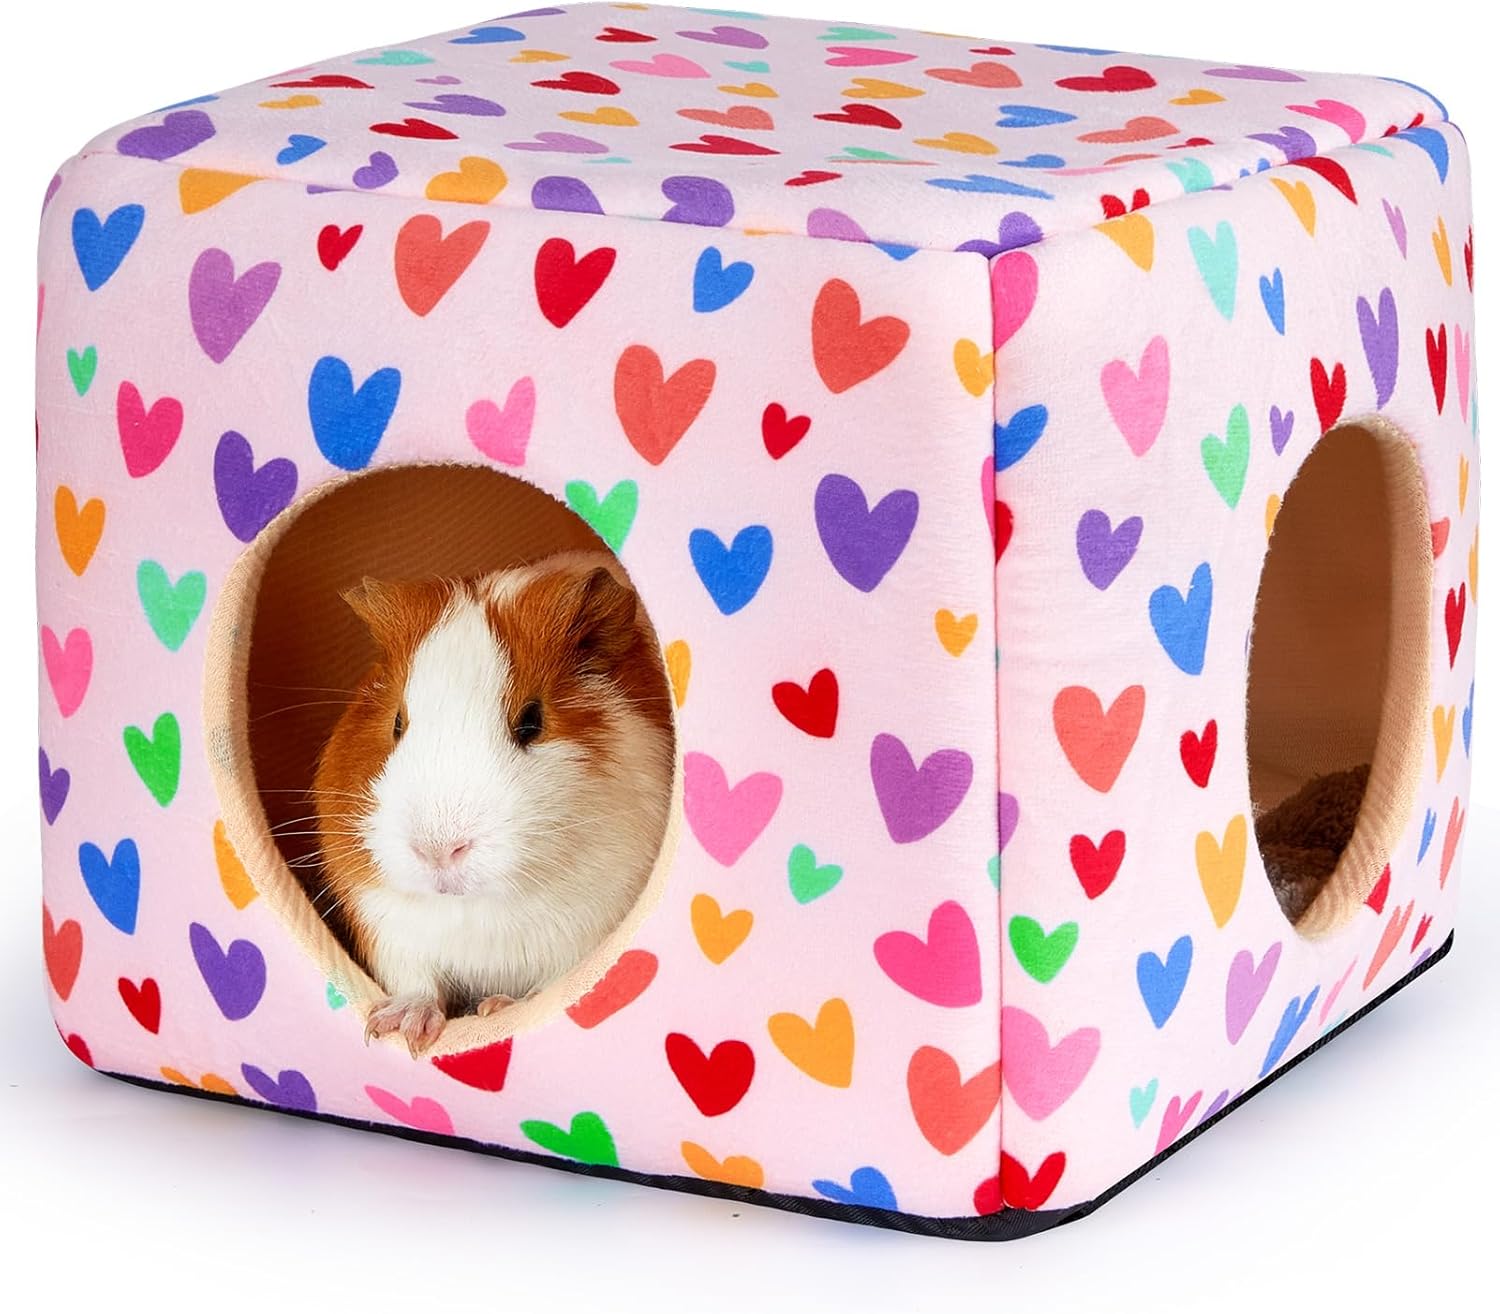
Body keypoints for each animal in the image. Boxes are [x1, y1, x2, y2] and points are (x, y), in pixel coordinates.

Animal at [312, 550, 674, 1055]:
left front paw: (496, 1009)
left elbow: (549, 985)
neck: (478, 912)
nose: (438, 851)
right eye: (397, 722)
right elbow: (419, 984)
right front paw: (399, 1028)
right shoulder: (387, 925)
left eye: (532, 721)